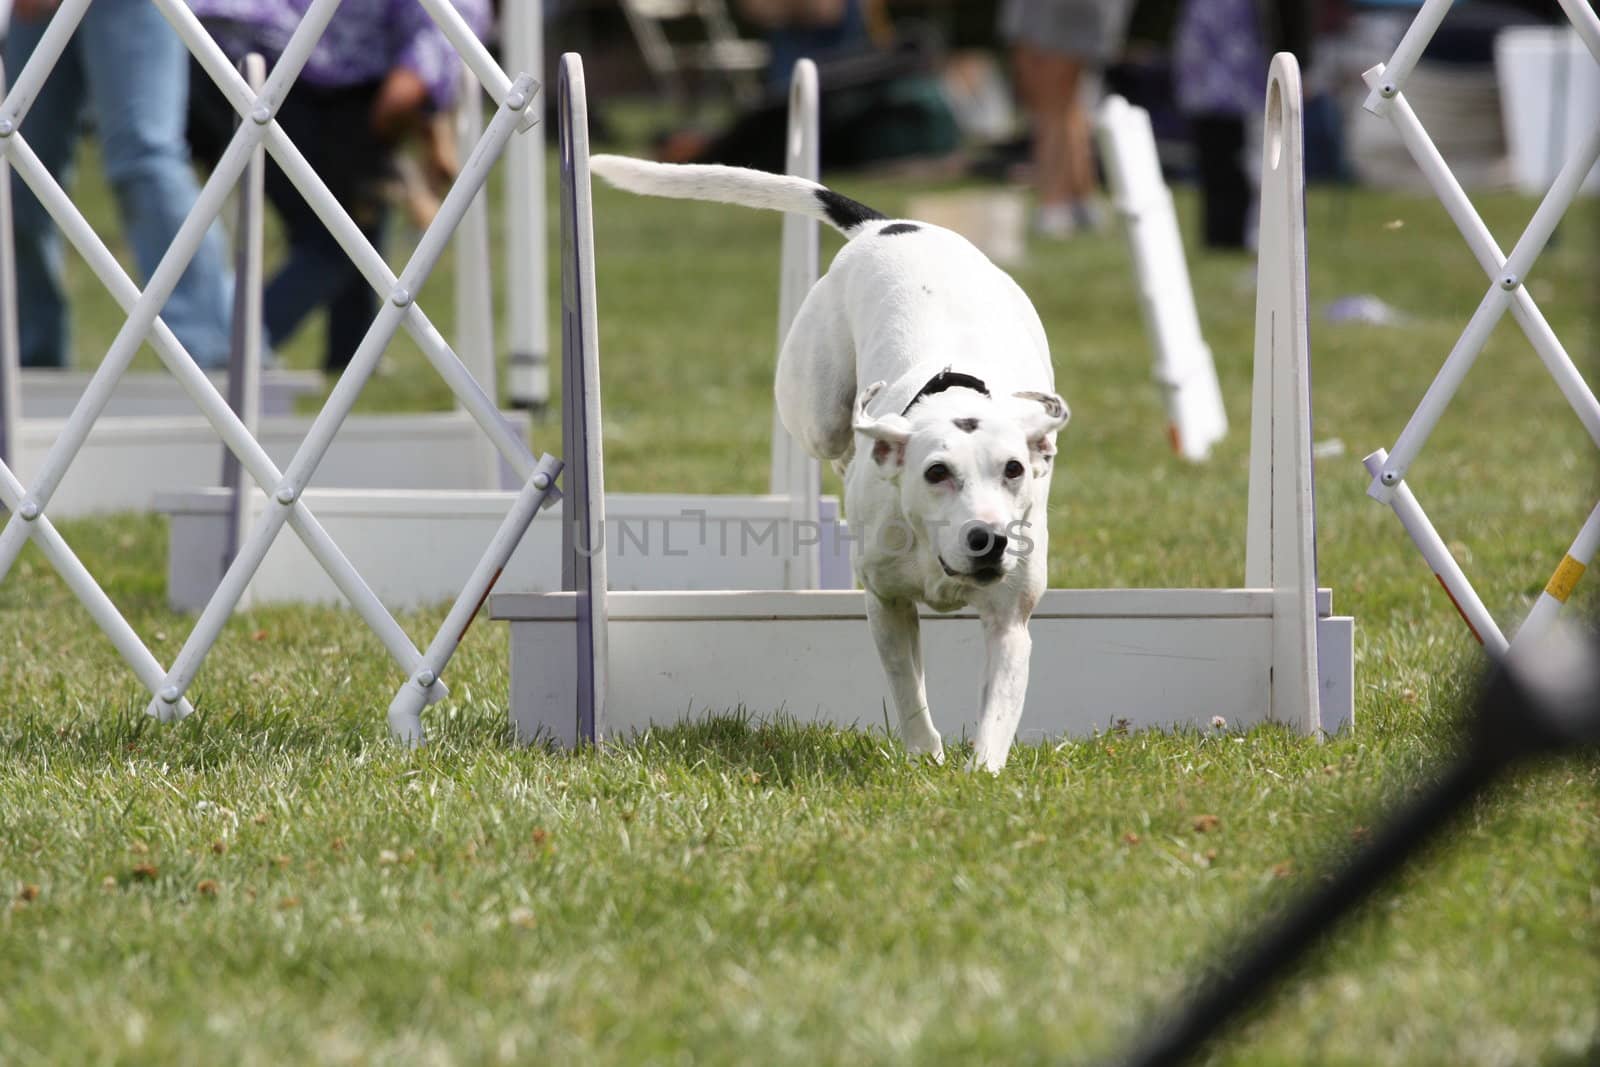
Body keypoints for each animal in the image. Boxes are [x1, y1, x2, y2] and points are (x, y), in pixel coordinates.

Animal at [595, 156, 1068, 767]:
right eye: (936, 472)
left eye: (1013, 469)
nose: (989, 538)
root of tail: (887, 225)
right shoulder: (887, 606)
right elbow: (908, 692)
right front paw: (926, 757)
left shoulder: (1010, 621)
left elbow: (998, 711)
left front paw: (979, 770)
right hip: (815, 408)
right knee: (834, 440)